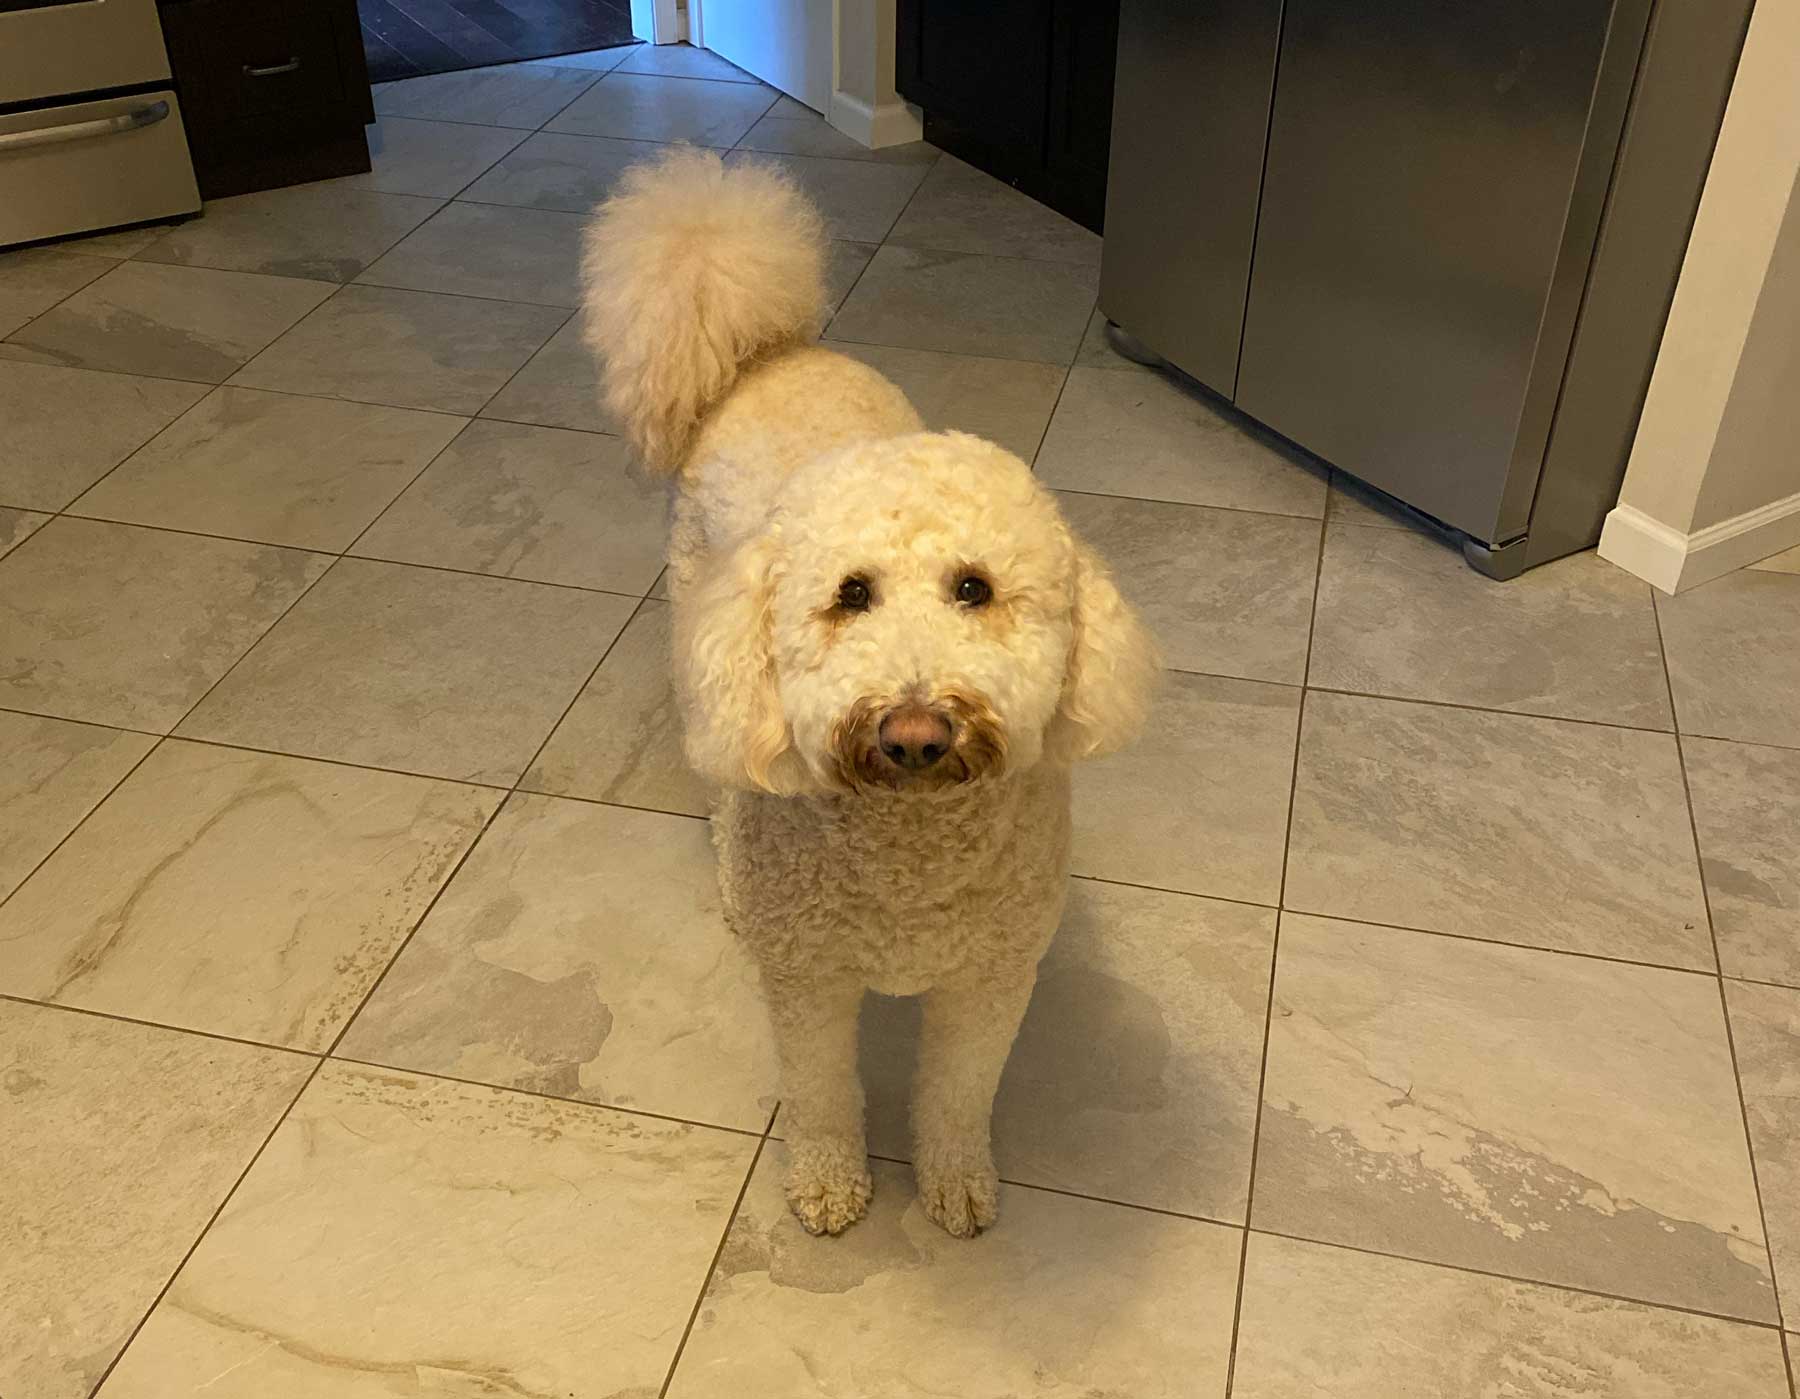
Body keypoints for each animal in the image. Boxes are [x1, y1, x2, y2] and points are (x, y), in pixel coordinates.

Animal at [583, 147, 1159, 1231]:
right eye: (851, 595)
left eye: (974, 588)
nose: (917, 729)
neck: (909, 852)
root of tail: (772, 351)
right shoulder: (811, 984)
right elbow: (818, 1092)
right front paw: (826, 1181)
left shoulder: (987, 981)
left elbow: (957, 1094)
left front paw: (957, 1183)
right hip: (695, 619)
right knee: (723, 773)